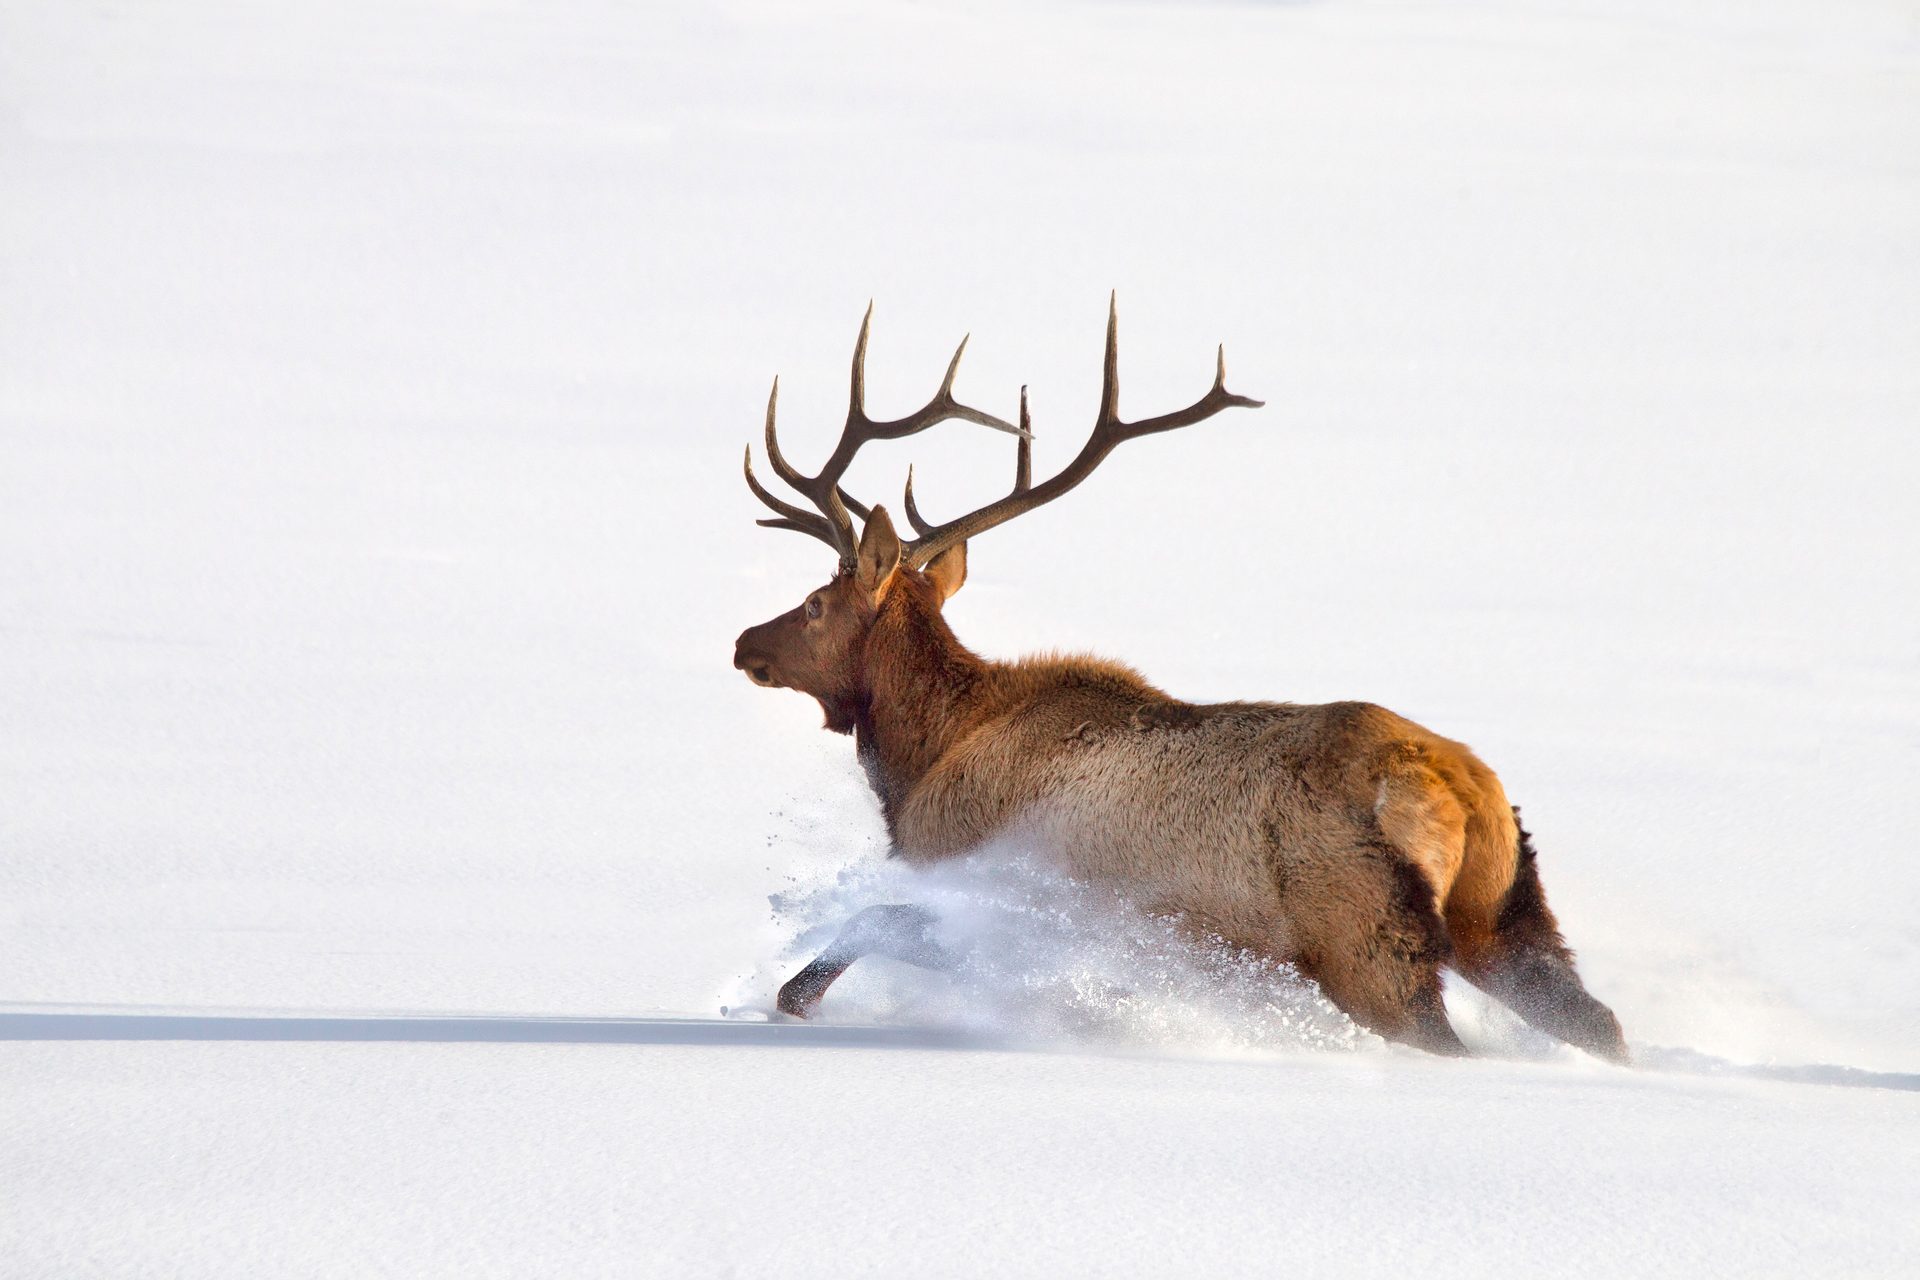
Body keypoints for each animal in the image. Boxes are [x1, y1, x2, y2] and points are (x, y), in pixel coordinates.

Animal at [732, 299, 1628, 1063]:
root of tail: (1459, 789)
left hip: (1366, 934)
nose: (744, 643)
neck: (924, 757)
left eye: (814, 604)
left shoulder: (993, 891)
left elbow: (863, 922)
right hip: (1505, 913)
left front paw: (787, 1000)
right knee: (1598, 1019)